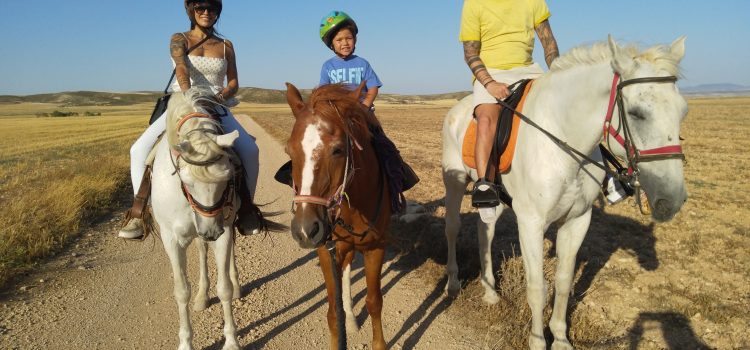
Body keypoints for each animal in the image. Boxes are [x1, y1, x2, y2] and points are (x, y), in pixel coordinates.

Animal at [153, 89, 244, 350]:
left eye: (227, 178)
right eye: (187, 181)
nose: (211, 231)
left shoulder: (223, 229)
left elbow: (224, 288)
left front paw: (231, 340)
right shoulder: (171, 239)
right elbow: (181, 291)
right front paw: (185, 342)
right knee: (202, 251)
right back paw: (202, 295)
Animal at [284, 82, 394, 350]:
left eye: (338, 150)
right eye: (289, 150)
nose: (305, 230)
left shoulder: (376, 247)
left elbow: (374, 302)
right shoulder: (326, 249)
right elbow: (334, 312)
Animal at [444, 37, 692, 348]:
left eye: (683, 111)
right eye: (637, 113)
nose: (672, 199)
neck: (563, 140)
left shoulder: (577, 220)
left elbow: (563, 281)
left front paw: (560, 338)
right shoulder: (531, 223)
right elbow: (537, 287)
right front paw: (538, 340)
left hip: (495, 199)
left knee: (484, 231)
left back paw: (490, 292)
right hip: (454, 181)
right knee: (452, 227)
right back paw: (452, 283)